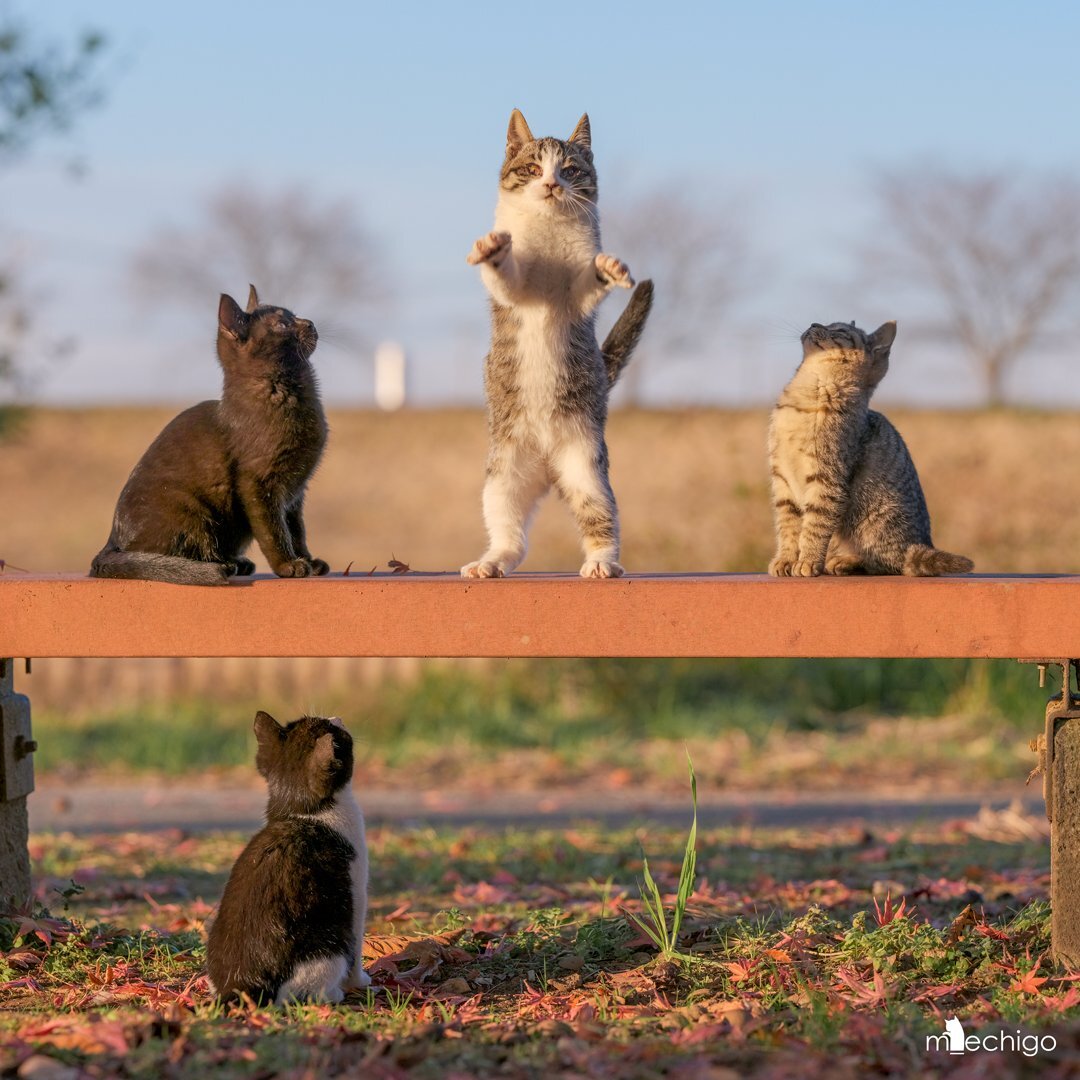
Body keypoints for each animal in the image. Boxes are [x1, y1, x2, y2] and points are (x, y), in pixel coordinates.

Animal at [91, 285, 328, 583]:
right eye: (283, 324)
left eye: (294, 315)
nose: (310, 323)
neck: (290, 392)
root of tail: (110, 543)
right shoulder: (257, 483)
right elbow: (274, 530)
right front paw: (288, 565)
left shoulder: (296, 493)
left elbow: (297, 530)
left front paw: (307, 560)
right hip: (190, 508)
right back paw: (222, 564)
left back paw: (237, 562)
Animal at [204, 712, 369, 1006]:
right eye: (331, 729)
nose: (335, 717)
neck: (302, 811)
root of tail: (241, 987)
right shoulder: (356, 888)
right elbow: (357, 945)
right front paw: (360, 982)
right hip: (328, 946)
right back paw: (334, 993)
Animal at [462, 107, 652, 583]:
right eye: (533, 168)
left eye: (569, 170)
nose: (550, 184)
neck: (548, 227)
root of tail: (547, 468)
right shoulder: (515, 293)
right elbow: (505, 277)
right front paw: (493, 249)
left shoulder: (575, 298)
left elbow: (588, 282)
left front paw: (609, 268)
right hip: (501, 478)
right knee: (513, 538)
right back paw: (491, 561)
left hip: (588, 470)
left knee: (600, 519)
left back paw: (603, 562)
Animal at [768, 317, 972, 578]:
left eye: (839, 330)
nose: (813, 323)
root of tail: (920, 545)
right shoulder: (782, 480)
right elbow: (788, 528)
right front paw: (785, 560)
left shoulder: (827, 479)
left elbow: (814, 526)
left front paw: (808, 561)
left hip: (877, 524)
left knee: (890, 563)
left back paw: (845, 561)